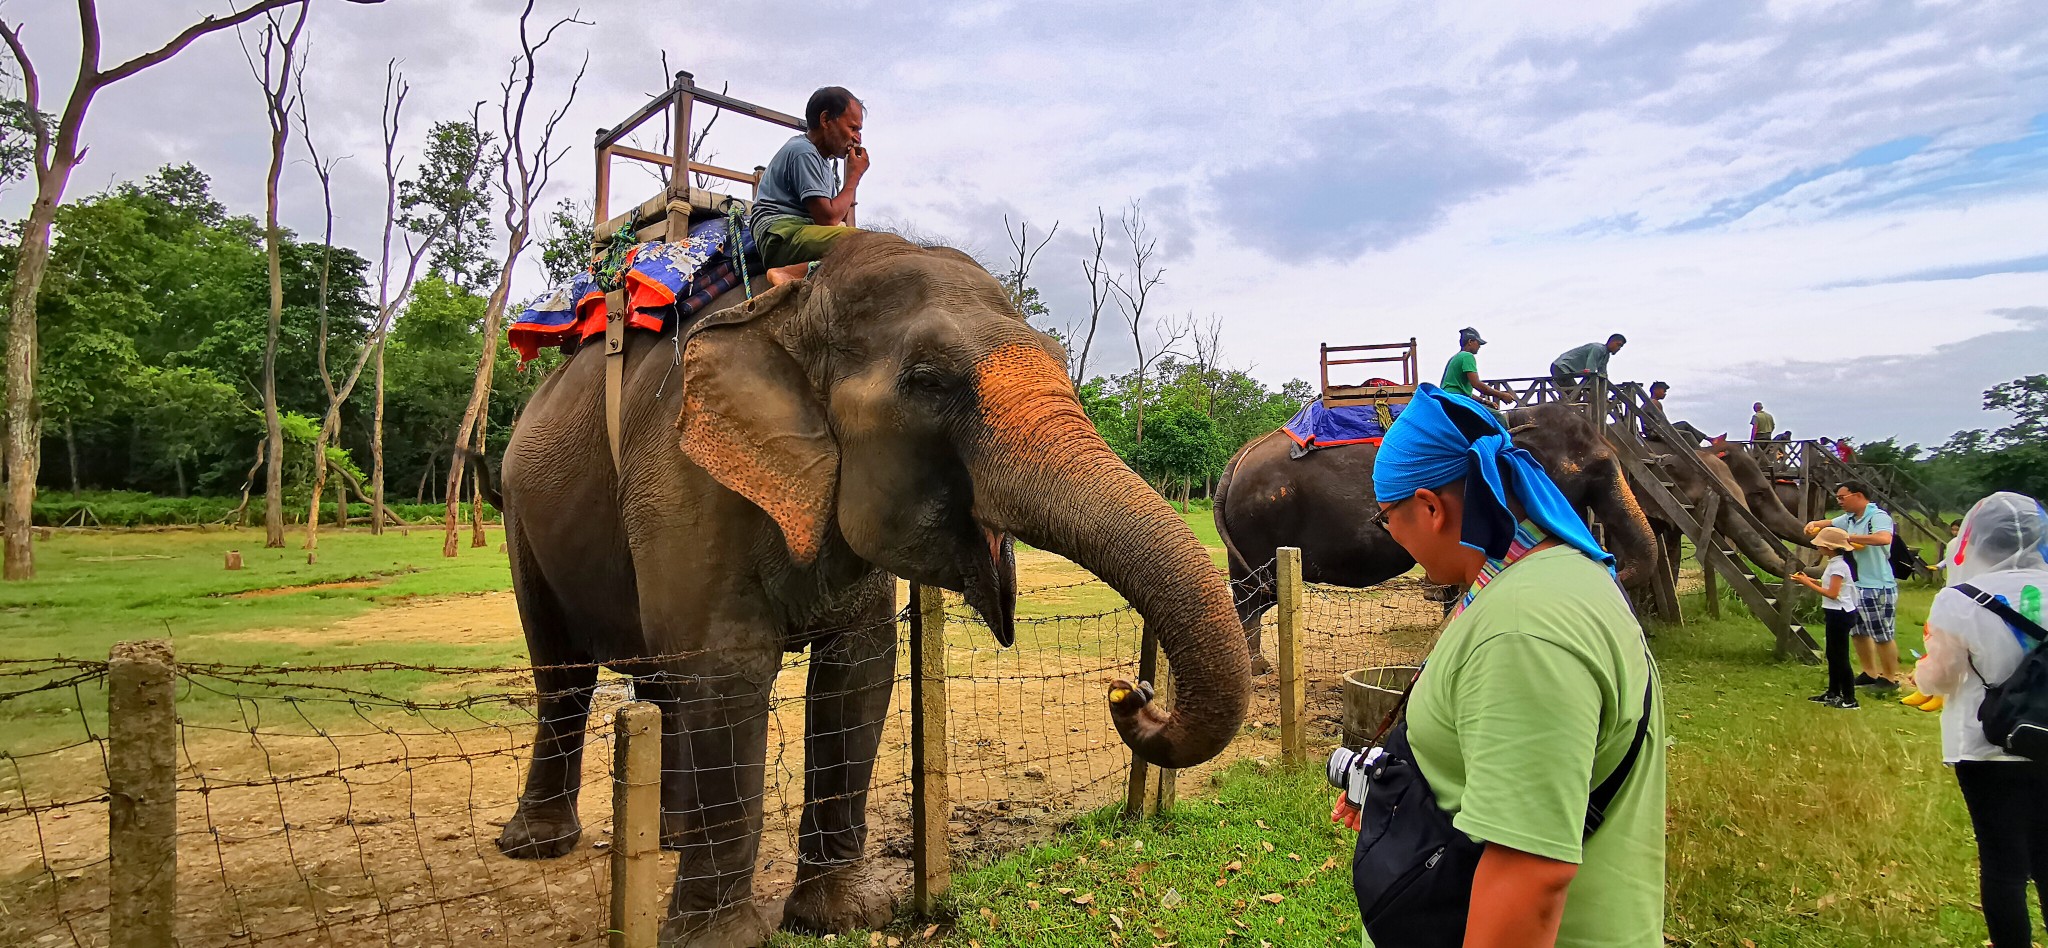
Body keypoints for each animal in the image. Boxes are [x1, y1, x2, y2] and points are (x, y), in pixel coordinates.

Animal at [487, 232, 1245, 948]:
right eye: (928, 382)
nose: (1130, 691)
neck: (795, 307)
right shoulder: (685, 479)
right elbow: (729, 670)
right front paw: (721, 941)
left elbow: (859, 669)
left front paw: (836, 918)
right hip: (519, 510)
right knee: (565, 672)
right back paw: (539, 846)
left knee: (660, 680)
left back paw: (670, 838)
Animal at [1204, 399, 1654, 675]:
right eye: (1595, 469)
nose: (1615, 567)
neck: (1508, 418)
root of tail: (1236, 459)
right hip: (1260, 522)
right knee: (1252, 597)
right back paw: (1258, 669)